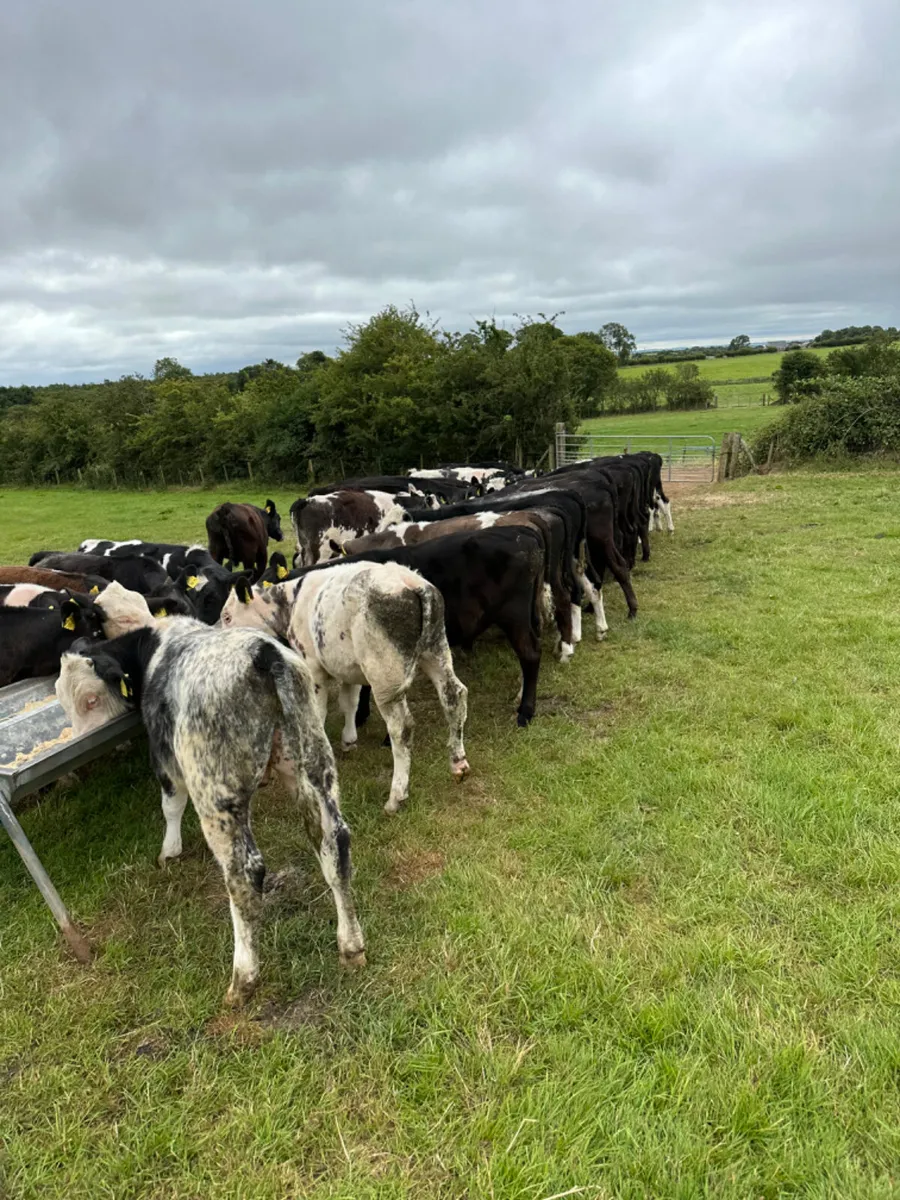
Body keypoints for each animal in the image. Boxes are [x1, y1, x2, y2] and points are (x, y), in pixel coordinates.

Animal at [55, 620, 365, 1005]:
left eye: (91, 699)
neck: (156, 646)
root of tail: (263, 653)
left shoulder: (165, 758)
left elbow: (171, 803)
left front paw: (169, 850)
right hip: (314, 762)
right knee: (335, 841)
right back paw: (351, 945)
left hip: (215, 795)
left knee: (245, 874)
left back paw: (242, 980)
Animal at [222, 561, 470, 814]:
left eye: (228, 617)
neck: (291, 602)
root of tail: (409, 581)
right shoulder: (348, 668)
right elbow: (350, 702)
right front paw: (349, 739)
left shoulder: (313, 666)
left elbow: (319, 712)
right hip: (436, 649)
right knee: (454, 696)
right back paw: (458, 763)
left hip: (385, 676)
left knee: (401, 728)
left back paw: (396, 797)